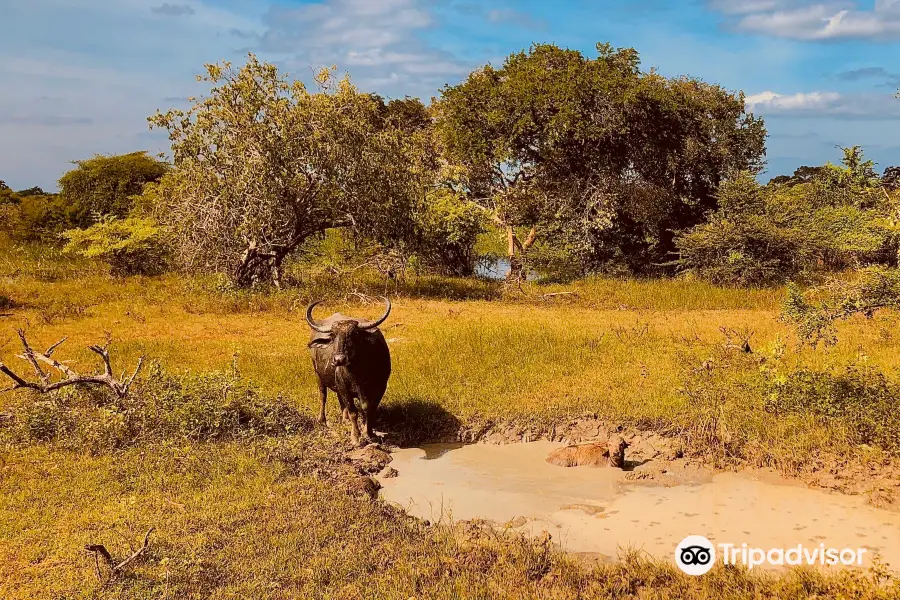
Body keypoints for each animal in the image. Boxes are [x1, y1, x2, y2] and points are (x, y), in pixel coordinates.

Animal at [306, 298, 390, 442]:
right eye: (333, 336)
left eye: (354, 333)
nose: (339, 359)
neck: (359, 373)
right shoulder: (344, 387)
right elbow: (353, 411)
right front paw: (355, 437)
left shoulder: (381, 386)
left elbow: (369, 408)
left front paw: (369, 432)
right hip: (318, 375)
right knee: (323, 396)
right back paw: (322, 420)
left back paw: (345, 419)